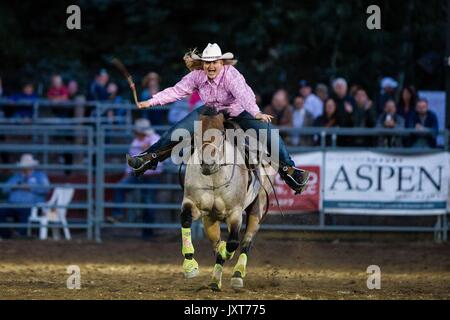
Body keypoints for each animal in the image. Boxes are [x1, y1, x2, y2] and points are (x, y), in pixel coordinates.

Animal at [126, 42, 310, 192]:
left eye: (214, 62)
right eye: (207, 64)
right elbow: (175, 91)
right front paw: (145, 103)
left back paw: (297, 177)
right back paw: (139, 162)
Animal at [178, 107, 272, 290]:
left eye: (221, 132)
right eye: (197, 132)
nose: (208, 163)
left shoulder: (235, 212)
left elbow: (233, 242)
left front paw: (225, 252)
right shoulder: (195, 205)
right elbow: (185, 219)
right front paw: (190, 266)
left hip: (257, 207)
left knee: (246, 242)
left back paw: (237, 275)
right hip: (210, 218)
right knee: (217, 242)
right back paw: (215, 281)